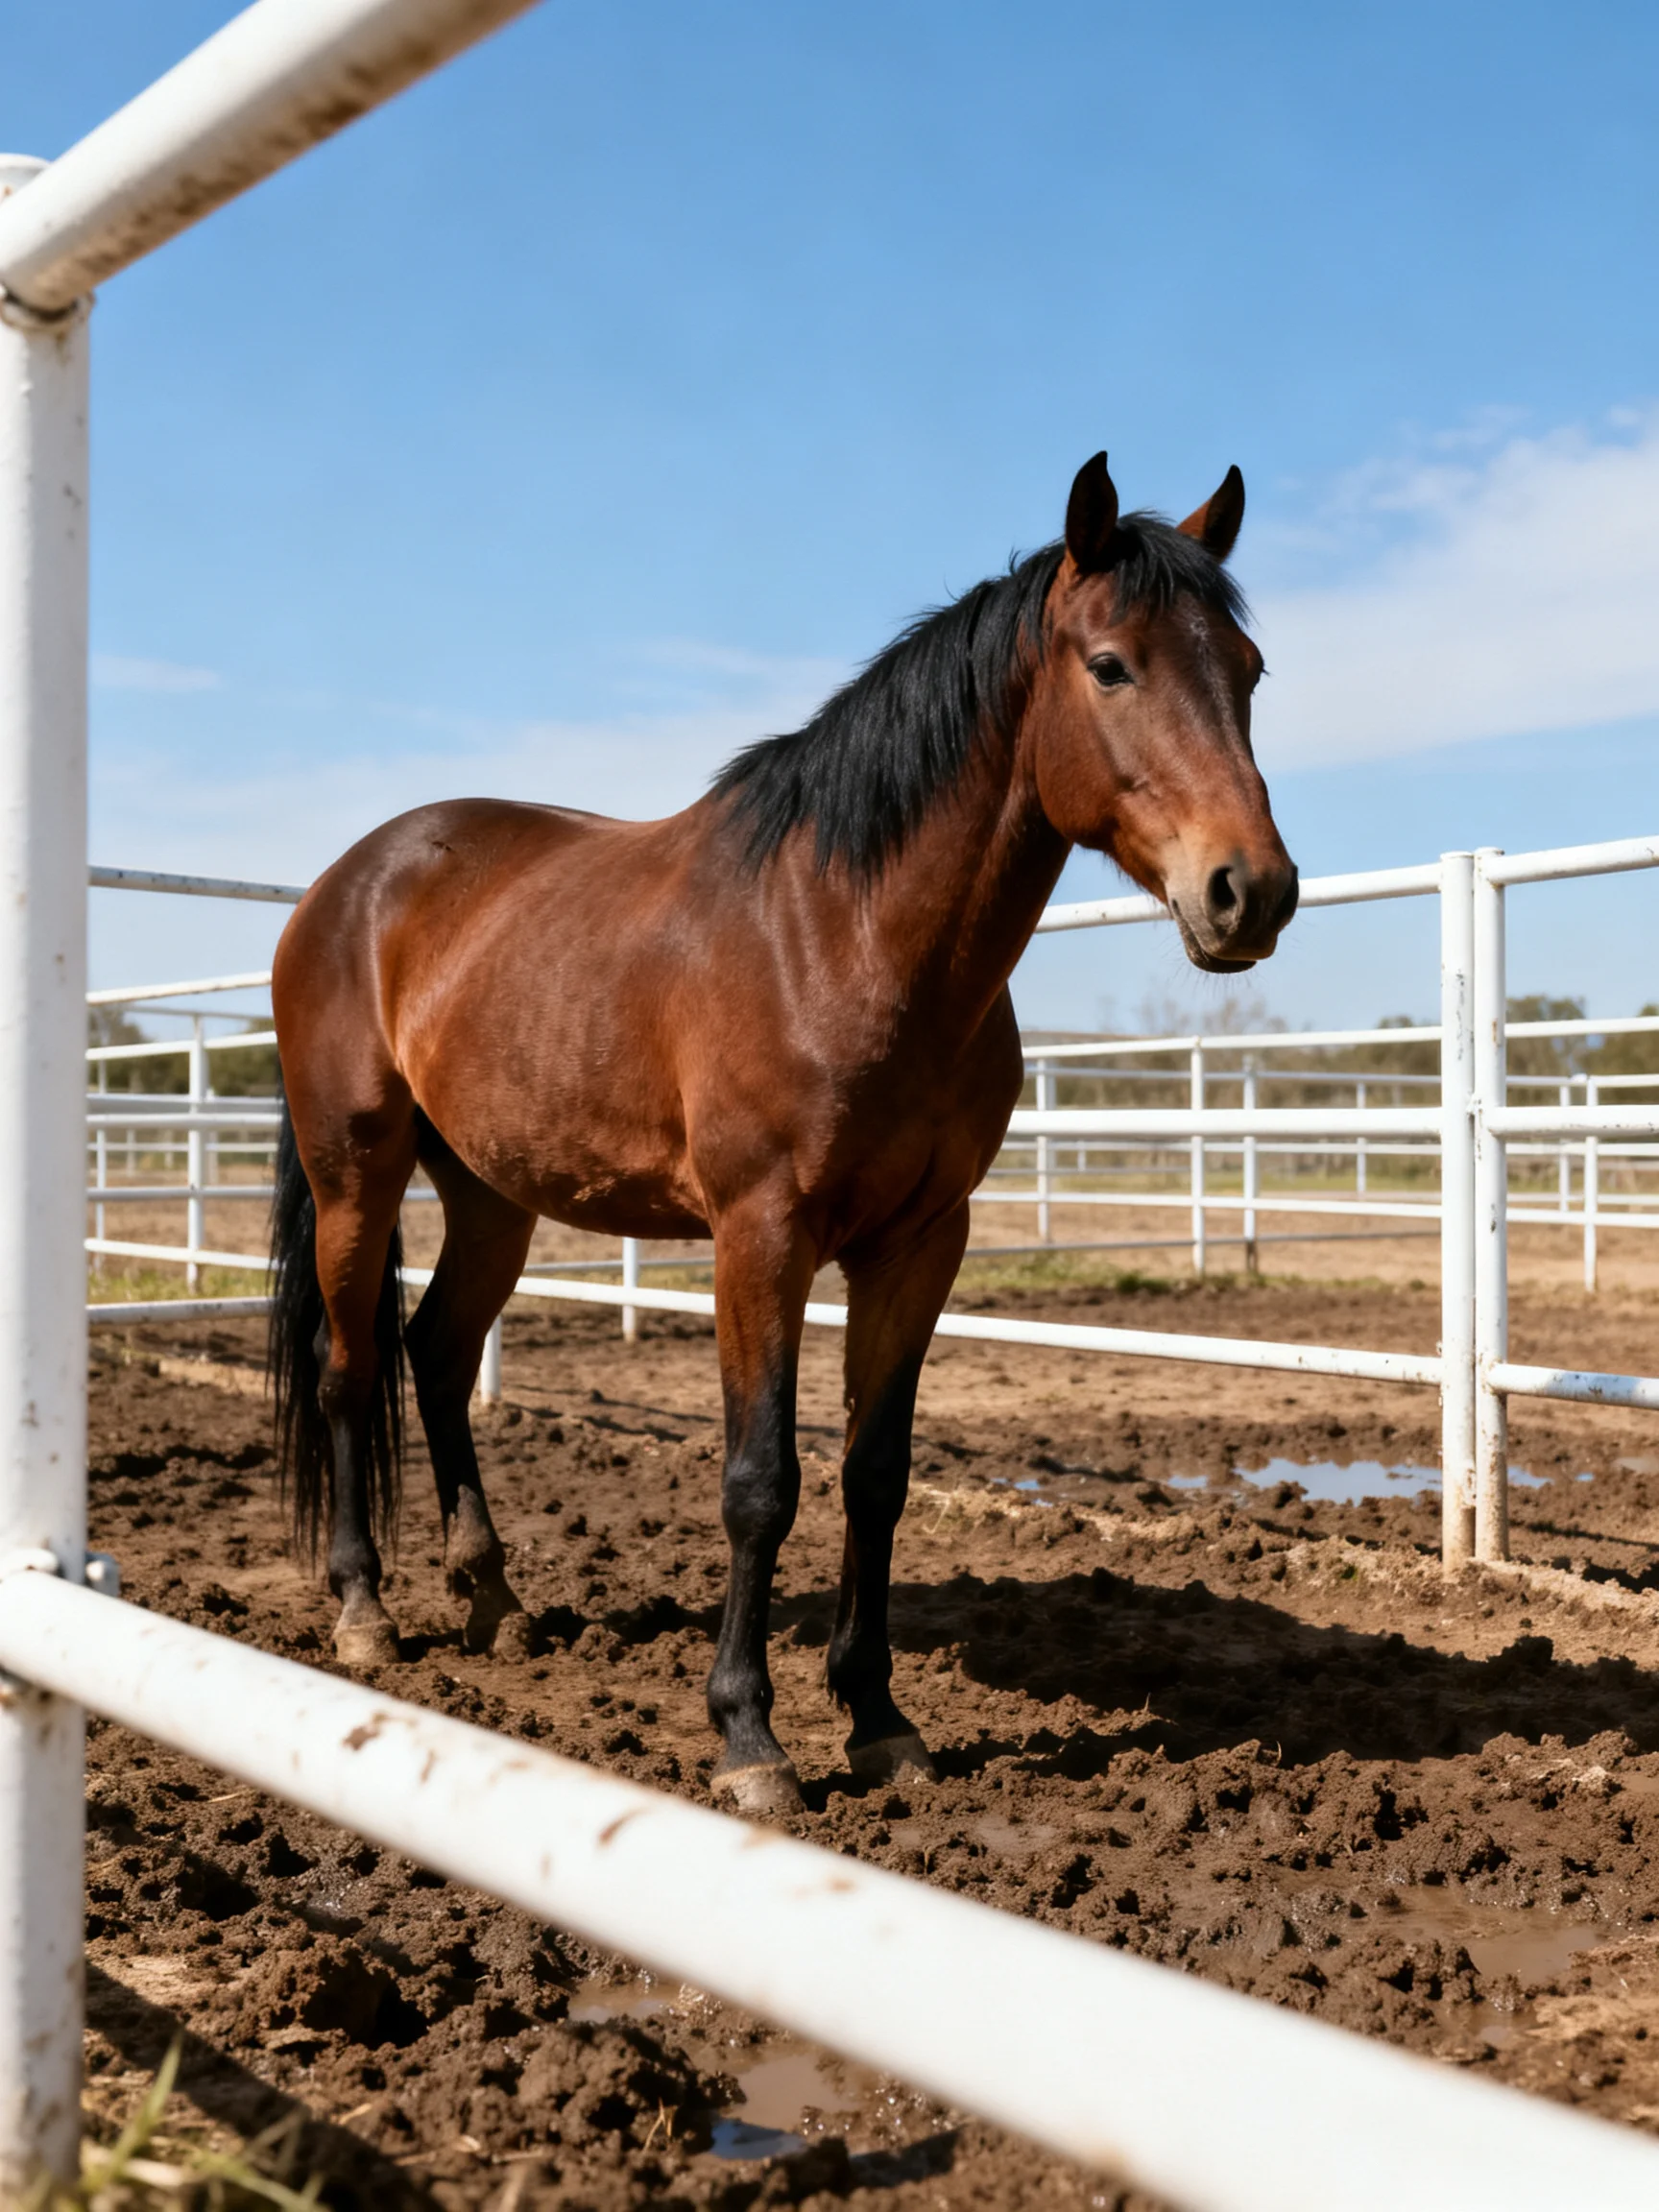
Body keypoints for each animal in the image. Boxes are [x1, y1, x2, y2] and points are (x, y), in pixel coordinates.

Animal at [268, 451, 1297, 1814]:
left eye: (1248, 668)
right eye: (1112, 664)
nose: (1252, 893)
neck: (843, 933)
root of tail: (344, 884)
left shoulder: (919, 1244)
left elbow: (875, 1473)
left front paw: (879, 1719)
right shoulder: (759, 1239)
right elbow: (762, 1484)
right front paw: (750, 1739)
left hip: (494, 1194)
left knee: (434, 1353)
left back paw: (495, 1600)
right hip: (358, 1173)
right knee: (346, 1368)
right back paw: (365, 1612)